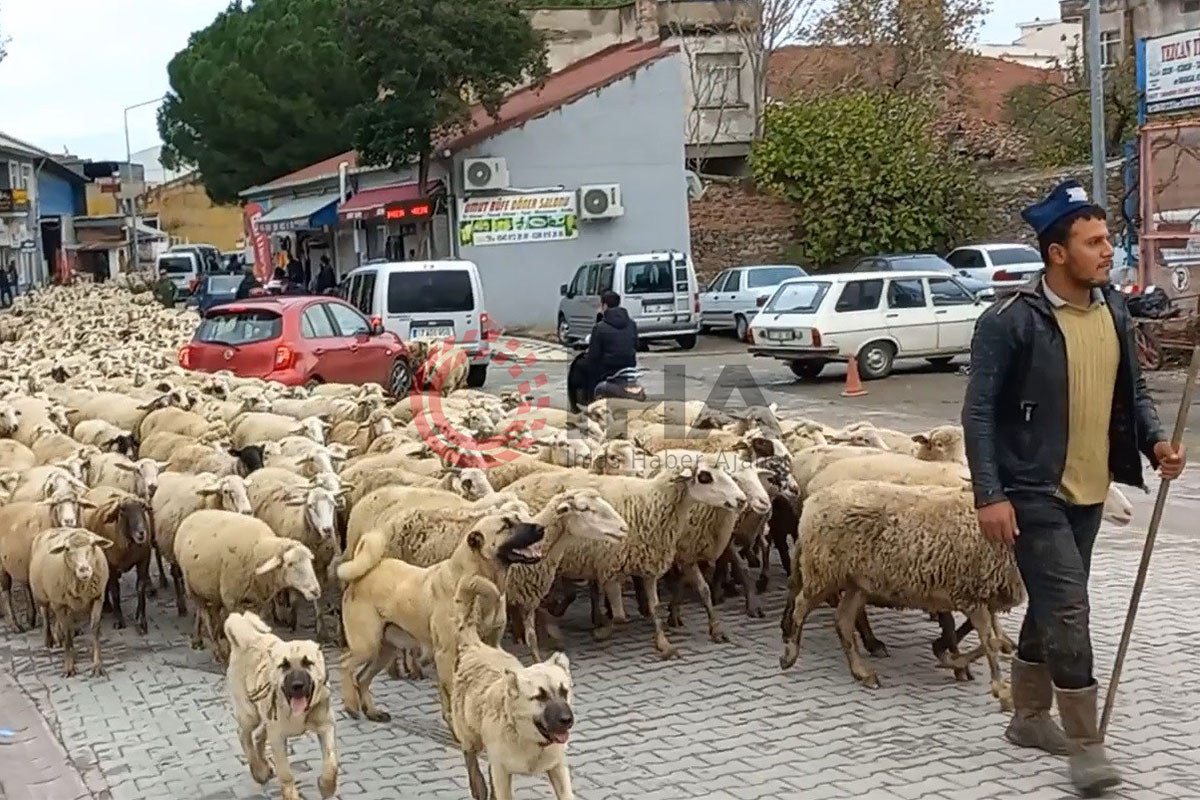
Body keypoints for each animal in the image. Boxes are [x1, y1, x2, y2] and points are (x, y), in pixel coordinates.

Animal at [224, 614, 338, 800]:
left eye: (308, 663)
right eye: (284, 666)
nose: (297, 685)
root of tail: (248, 636)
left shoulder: (326, 727)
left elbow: (331, 762)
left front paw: (326, 786)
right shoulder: (278, 736)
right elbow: (285, 773)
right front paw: (291, 795)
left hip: (264, 716)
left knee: (258, 736)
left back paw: (264, 767)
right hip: (250, 713)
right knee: (243, 734)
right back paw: (259, 771)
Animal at [336, 510, 547, 729]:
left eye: (517, 519)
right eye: (506, 526)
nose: (541, 528)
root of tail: (365, 572)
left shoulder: (492, 645)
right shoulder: (446, 654)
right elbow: (450, 692)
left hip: (385, 649)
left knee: (362, 678)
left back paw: (372, 711)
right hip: (367, 645)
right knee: (345, 664)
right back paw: (351, 706)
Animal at [453, 578, 576, 796]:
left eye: (564, 692)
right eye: (540, 696)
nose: (567, 720)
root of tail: (475, 646)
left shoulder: (558, 768)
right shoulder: (501, 772)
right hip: (470, 739)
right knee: (472, 764)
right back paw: (478, 785)